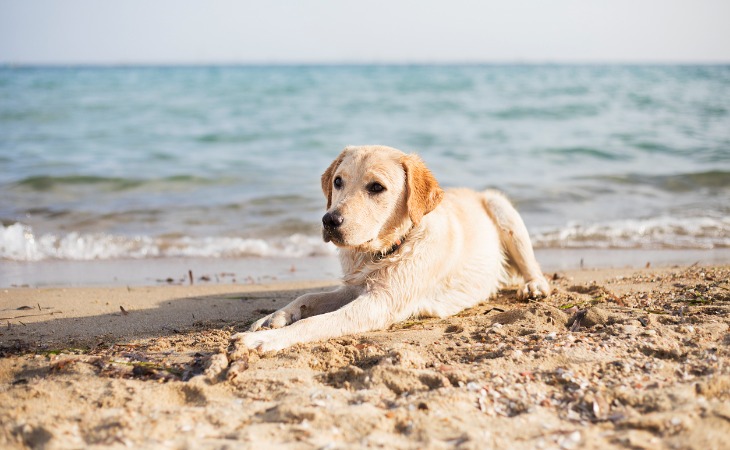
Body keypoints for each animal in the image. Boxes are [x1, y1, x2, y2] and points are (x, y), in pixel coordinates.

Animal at [232, 144, 544, 352]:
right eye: (338, 181)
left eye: (376, 187)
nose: (329, 220)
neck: (385, 250)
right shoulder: (355, 287)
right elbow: (307, 297)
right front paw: (273, 318)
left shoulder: (380, 302)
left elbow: (314, 323)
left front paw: (264, 340)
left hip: (501, 207)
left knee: (533, 266)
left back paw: (534, 286)